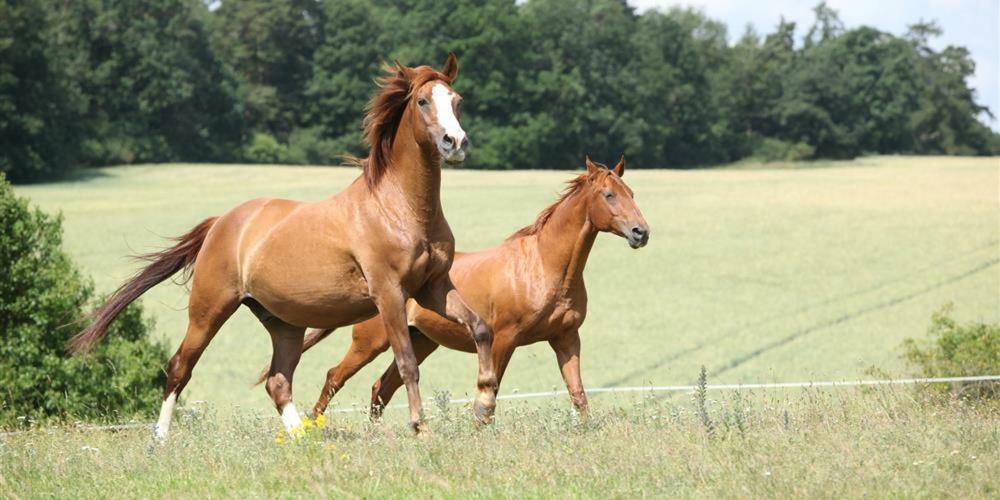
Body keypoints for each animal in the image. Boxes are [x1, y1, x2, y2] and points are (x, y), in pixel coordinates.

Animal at [66, 53, 496, 438]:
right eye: (423, 101)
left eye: (456, 100)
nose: (455, 142)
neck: (399, 208)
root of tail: (222, 223)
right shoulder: (389, 292)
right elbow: (407, 363)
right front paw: (420, 427)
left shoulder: (433, 287)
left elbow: (481, 328)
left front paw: (484, 405)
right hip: (209, 309)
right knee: (179, 368)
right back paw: (160, 439)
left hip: (284, 323)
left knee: (277, 381)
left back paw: (303, 436)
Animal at [286, 158, 652, 416]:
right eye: (609, 195)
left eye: (632, 194)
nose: (641, 233)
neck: (544, 267)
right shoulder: (504, 339)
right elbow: (490, 392)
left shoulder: (566, 338)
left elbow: (578, 395)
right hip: (371, 342)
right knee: (335, 377)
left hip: (420, 342)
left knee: (381, 389)